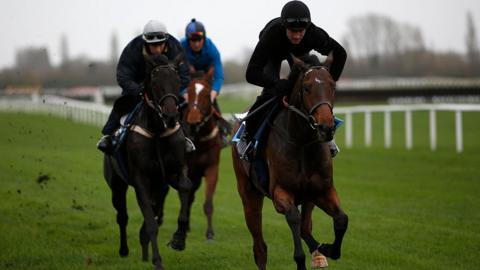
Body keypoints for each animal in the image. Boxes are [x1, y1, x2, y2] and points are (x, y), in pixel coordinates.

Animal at [104, 54, 192, 270]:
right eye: (155, 82)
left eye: (177, 81)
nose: (171, 115)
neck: (157, 131)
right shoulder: (140, 179)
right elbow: (151, 222)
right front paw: (158, 261)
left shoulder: (173, 173)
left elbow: (185, 187)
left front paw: (178, 239)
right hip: (117, 185)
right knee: (122, 216)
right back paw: (124, 250)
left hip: (159, 187)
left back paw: (144, 252)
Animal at [231, 56, 346, 268]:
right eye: (307, 87)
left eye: (333, 85)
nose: (326, 127)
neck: (302, 142)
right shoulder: (280, 192)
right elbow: (293, 218)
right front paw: (304, 257)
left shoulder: (322, 190)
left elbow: (341, 219)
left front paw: (326, 249)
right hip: (248, 195)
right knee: (260, 247)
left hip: (308, 197)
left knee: (306, 226)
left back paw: (318, 253)